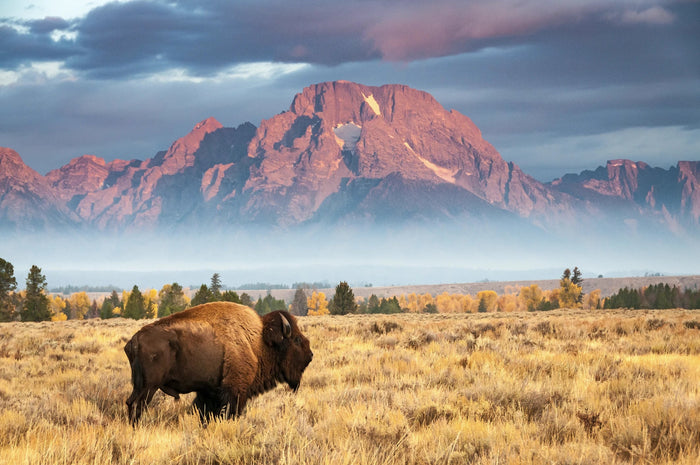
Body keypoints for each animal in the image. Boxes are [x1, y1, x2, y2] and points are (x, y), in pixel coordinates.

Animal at [124, 302, 313, 424]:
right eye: (296, 340)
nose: (310, 355)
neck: (259, 341)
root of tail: (134, 340)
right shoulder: (235, 391)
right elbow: (230, 413)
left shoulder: (209, 391)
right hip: (149, 387)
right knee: (137, 405)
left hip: (140, 385)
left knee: (130, 403)